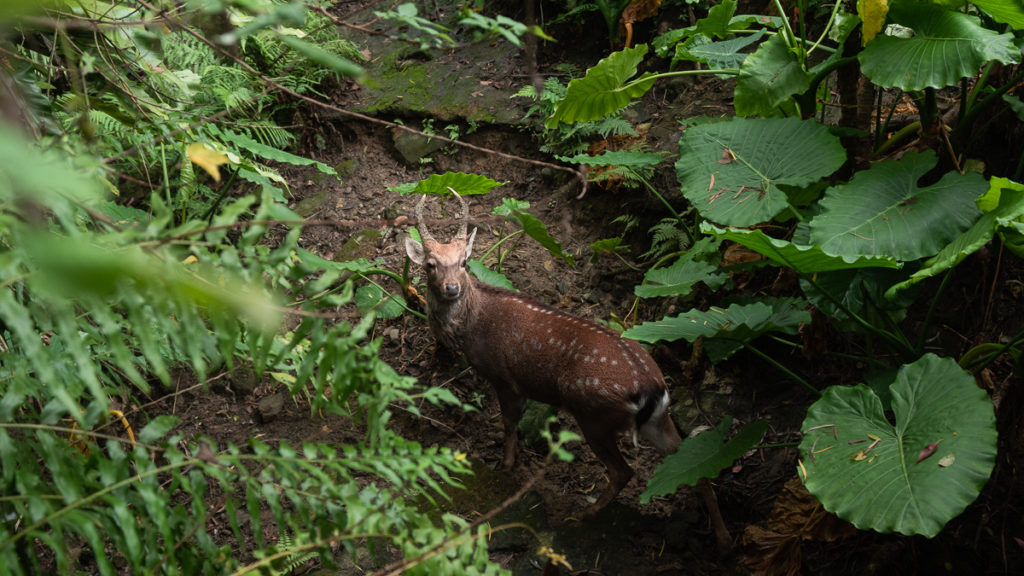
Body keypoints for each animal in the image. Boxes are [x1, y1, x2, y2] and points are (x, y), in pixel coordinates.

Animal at [403, 189, 684, 516]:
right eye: (430, 264)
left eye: (464, 262)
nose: (451, 288)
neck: (472, 324)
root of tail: (652, 387)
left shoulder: (504, 377)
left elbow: (510, 424)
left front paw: (507, 465)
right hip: (657, 418)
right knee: (684, 455)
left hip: (593, 412)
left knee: (623, 471)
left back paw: (585, 513)